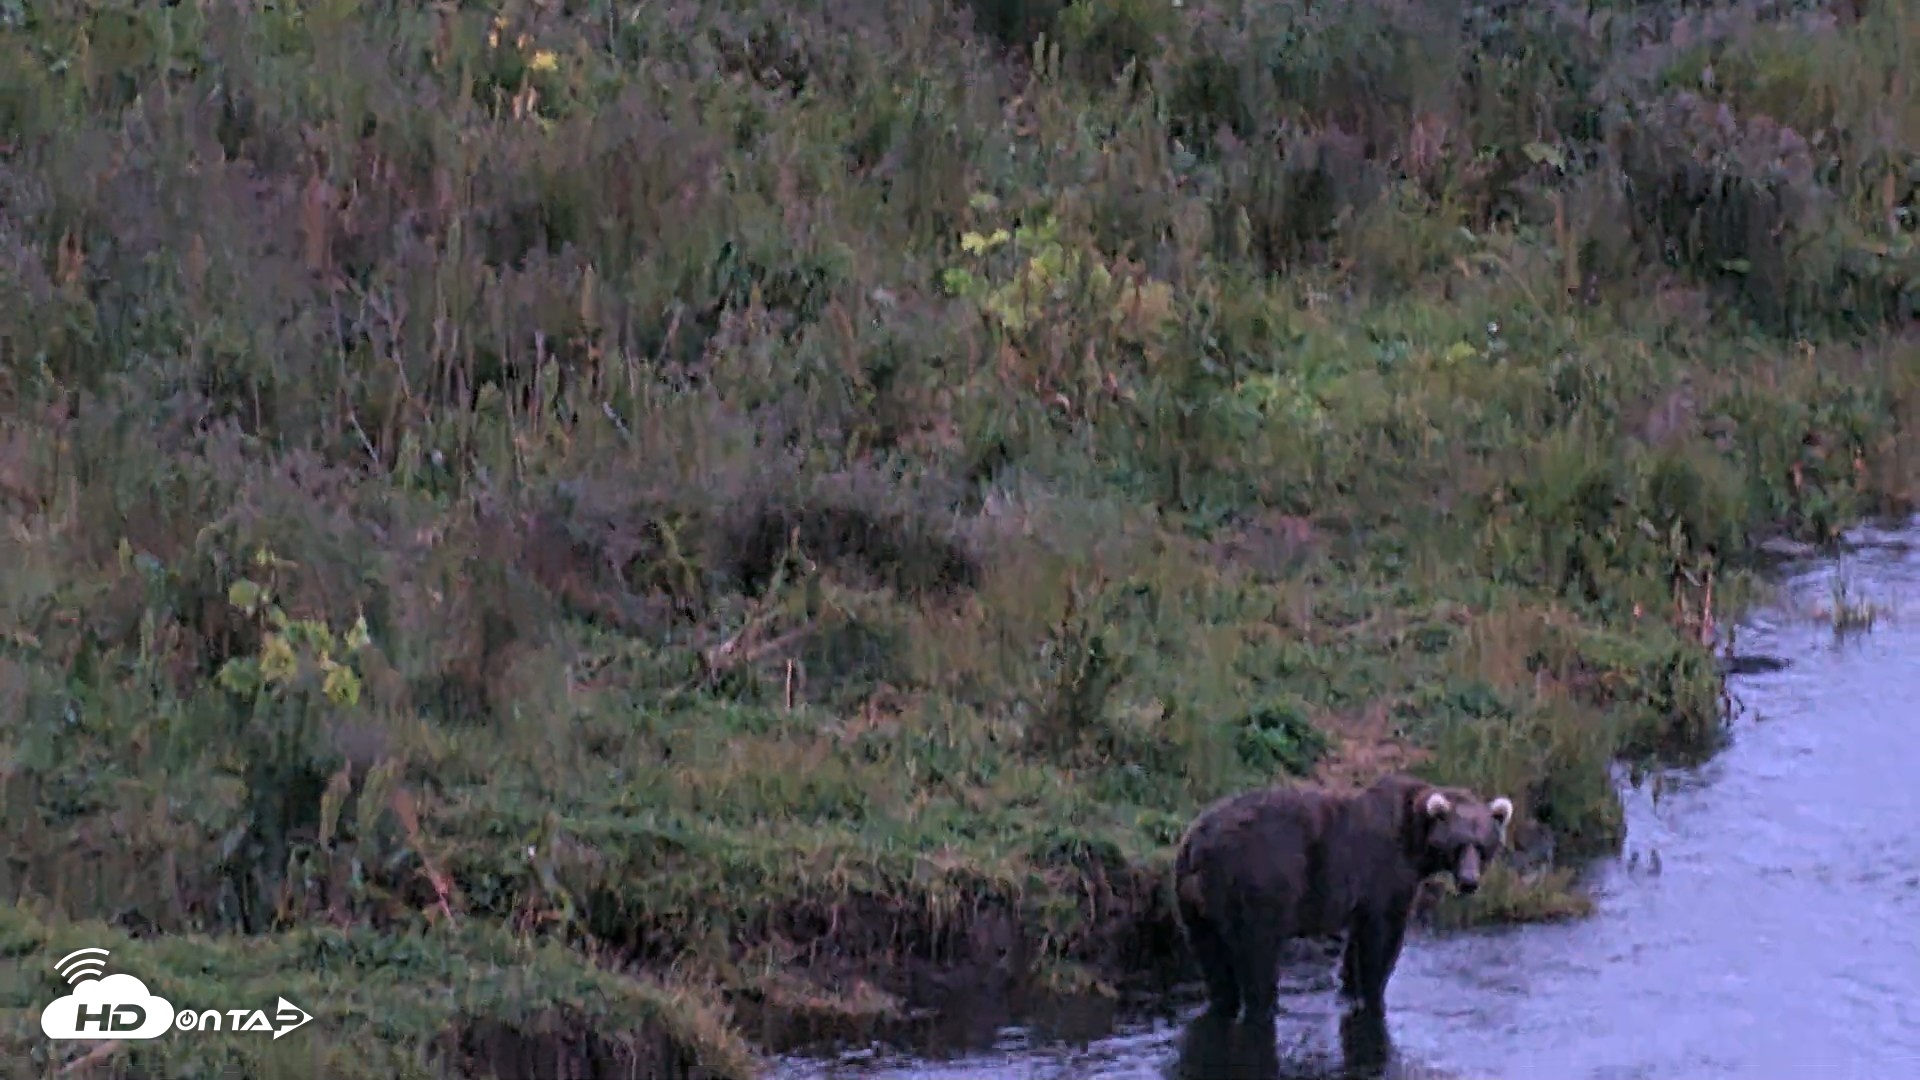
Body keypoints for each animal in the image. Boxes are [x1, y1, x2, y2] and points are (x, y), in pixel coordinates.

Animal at [1172, 772, 1514, 1021]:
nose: (1469, 882)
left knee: (1211, 958)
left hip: (1193, 901)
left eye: (1482, 846)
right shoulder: (1384, 872)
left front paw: (1349, 989)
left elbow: (1357, 943)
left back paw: (1223, 1001)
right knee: (1257, 953)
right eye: (1458, 844)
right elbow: (1383, 937)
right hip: (1255, 880)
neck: (1415, 846)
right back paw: (1266, 1005)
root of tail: (1198, 846)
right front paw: (1374, 993)